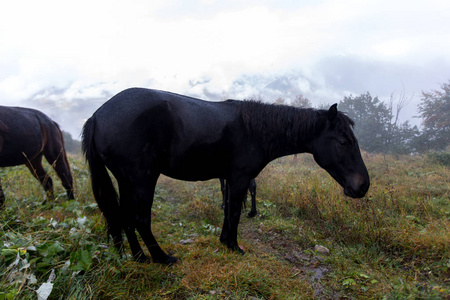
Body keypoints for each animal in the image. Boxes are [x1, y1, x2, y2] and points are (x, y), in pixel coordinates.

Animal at [81, 87, 370, 264]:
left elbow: (228, 210)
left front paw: (224, 241)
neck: (254, 129)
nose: (363, 186)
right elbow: (234, 212)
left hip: (126, 180)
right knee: (140, 218)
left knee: (124, 217)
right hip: (142, 178)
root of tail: (98, 115)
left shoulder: (230, 179)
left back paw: (139, 257)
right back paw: (162, 258)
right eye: (343, 141)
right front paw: (234, 246)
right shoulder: (240, 178)